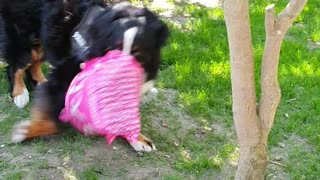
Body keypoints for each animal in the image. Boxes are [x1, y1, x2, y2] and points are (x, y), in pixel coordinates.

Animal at [0, 0, 170, 152]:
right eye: (113, 49)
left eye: (137, 53)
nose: (120, 73)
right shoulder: (64, 76)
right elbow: (52, 120)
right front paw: (25, 131)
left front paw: (138, 138)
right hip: (22, 36)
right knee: (18, 64)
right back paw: (20, 93)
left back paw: (41, 82)